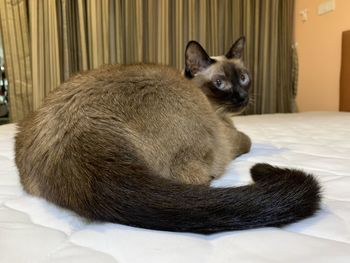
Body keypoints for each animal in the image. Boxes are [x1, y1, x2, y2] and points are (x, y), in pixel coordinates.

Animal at [14, 37, 320, 235]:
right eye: (220, 83)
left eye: (244, 78)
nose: (242, 97)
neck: (221, 113)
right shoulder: (228, 133)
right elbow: (247, 138)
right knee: (200, 180)